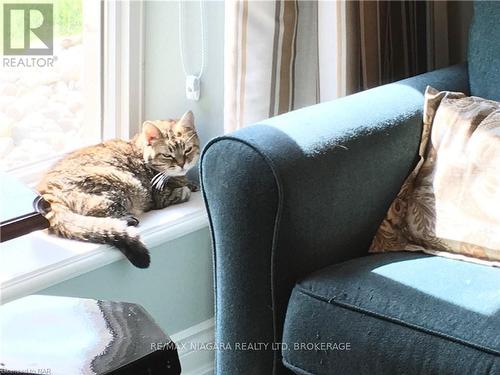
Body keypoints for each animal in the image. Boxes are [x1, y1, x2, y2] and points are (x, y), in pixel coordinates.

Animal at [37, 110, 199, 268]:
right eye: (167, 155)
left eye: (188, 150)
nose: (182, 164)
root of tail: (47, 192)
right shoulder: (161, 196)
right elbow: (182, 192)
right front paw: (186, 188)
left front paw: (191, 183)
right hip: (117, 183)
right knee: (100, 214)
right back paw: (128, 220)